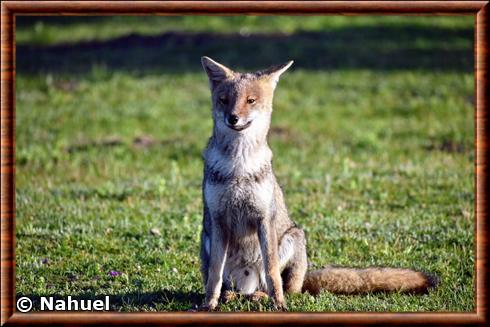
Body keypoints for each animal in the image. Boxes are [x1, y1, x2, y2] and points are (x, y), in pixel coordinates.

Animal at [198, 57, 436, 312]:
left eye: (250, 101)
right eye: (224, 100)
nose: (232, 118)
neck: (239, 168)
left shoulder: (264, 218)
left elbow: (272, 273)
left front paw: (279, 304)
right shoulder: (218, 220)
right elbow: (214, 275)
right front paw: (208, 305)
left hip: (293, 238)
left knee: (282, 287)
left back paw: (263, 297)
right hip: (207, 240)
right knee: (231, 286)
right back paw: (231, 296)